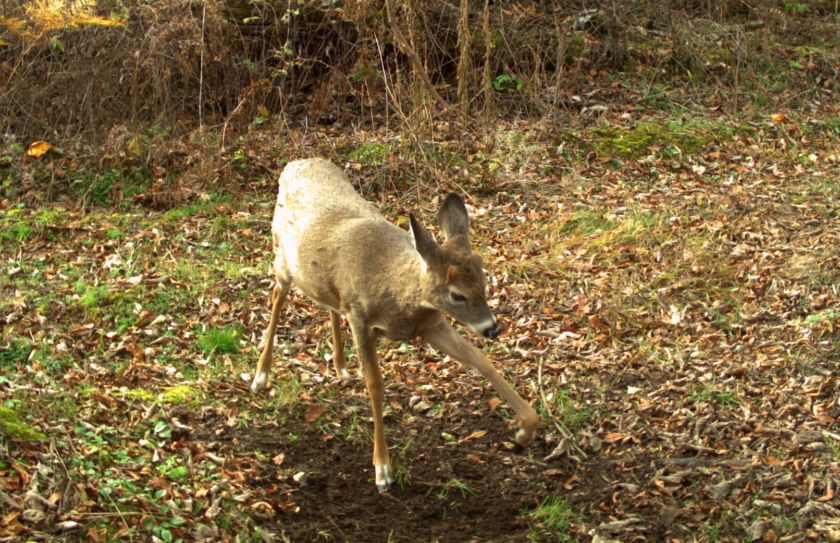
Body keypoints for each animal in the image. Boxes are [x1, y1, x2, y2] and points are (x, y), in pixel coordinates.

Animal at [253, 158, 540, 492]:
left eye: (484, 282)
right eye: (457, 294)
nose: (492, 328)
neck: (398, 294)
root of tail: (296, 163)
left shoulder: (431, 325)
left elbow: (481, 361)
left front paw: (524, 431)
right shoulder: (361, 319)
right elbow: (375, 385)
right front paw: (382, 469)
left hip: (325, 284)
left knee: (327, 304)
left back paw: (340, 367)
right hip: (282, 261)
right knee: (277, 297)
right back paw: (260, 376)